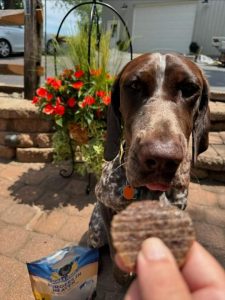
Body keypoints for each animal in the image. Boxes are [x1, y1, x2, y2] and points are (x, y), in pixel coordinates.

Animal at [87, 53, 209, 284]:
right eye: (134, 85)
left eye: (189, 88)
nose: (162, 158)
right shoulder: (105, 205)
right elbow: (116, 250)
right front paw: (122, 274)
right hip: (95, 229)